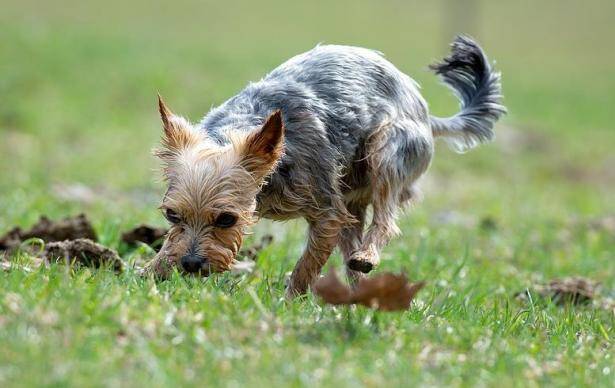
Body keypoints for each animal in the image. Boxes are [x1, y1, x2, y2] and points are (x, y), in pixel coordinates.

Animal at [144, 36, 506, 298]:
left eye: (226, 219)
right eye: (171, 216)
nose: (191, 264)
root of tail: (426, 113)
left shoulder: (327, 210)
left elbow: (308, 263)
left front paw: (290, 300)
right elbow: (170, 244)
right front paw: (149, 273)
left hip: (387, 150)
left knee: (385, 220)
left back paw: (367, 257)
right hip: (351, 197)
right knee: (354, 243)